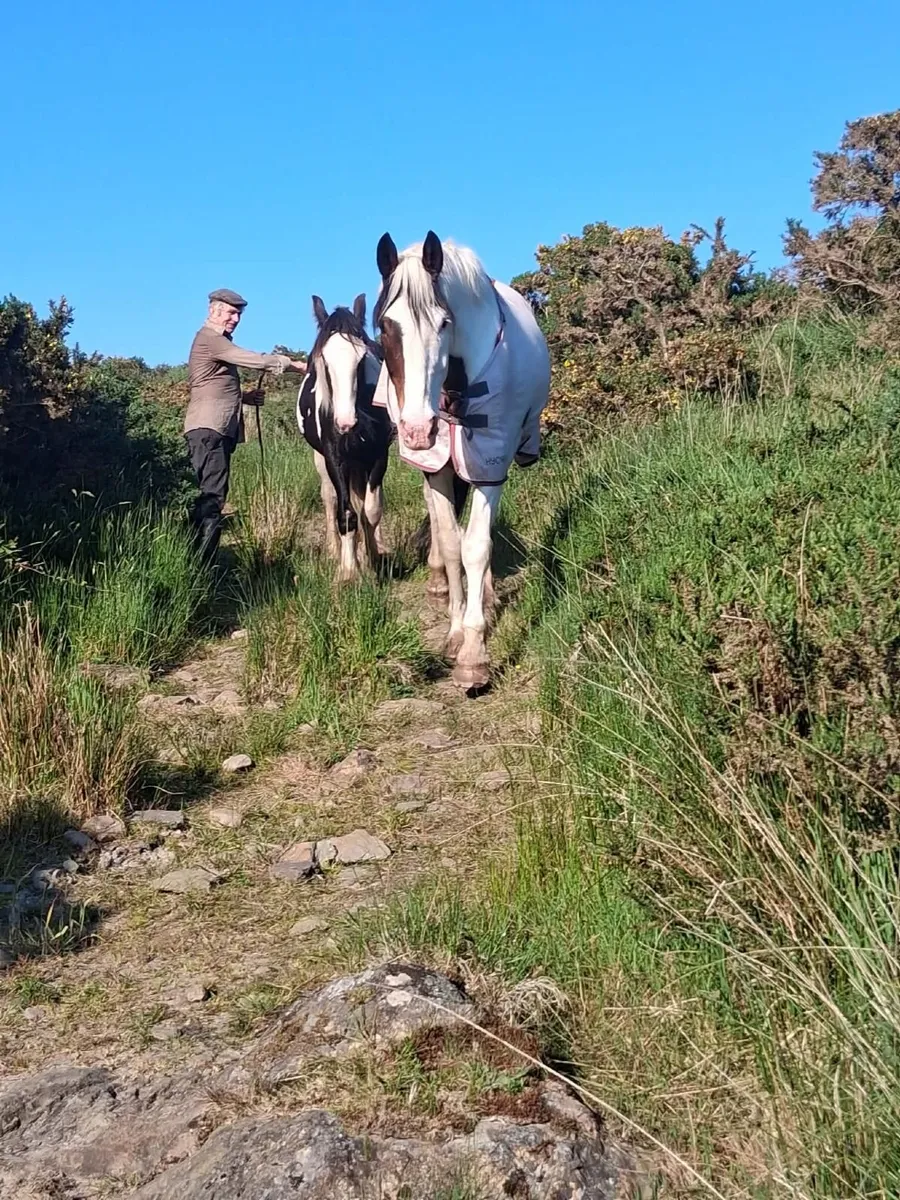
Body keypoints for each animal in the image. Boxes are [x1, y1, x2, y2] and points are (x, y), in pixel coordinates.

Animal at [296, 294, 392, 581]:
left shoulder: (378, 455)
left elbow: (371, 511)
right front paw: (349, 572)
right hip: (322, 459)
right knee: (329, 498)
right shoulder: (334, 458)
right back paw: (333, 550)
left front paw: (370, 561)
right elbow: (346, 513)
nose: (345, 423)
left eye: (361, 359)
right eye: (324, 362)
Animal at [372, 231, 551, 689]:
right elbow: (452, 544)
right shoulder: (437, 467)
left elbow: (476, 546)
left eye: (444, 323)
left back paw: (484, 594)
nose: (418, 430)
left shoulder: (489, 461)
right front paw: (454, 633)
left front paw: (474, 653)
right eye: (385, 325)